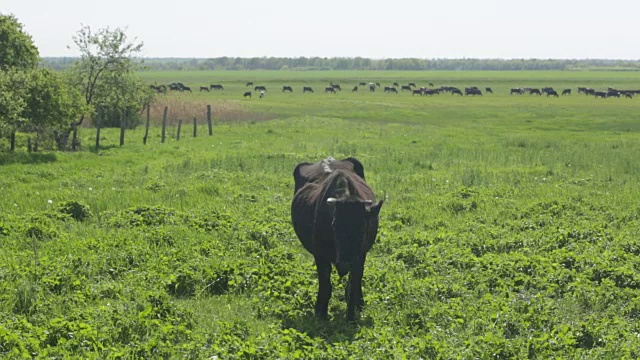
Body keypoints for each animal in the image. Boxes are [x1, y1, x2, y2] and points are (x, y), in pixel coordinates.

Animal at [292, 158, 384, 320]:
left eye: (364, 226)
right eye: (334, 225)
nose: (346, 260)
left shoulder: (359, 258)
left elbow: (353, 285)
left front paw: (351, 317)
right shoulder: (320, 256)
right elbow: (325, 284)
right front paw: (321, 313)